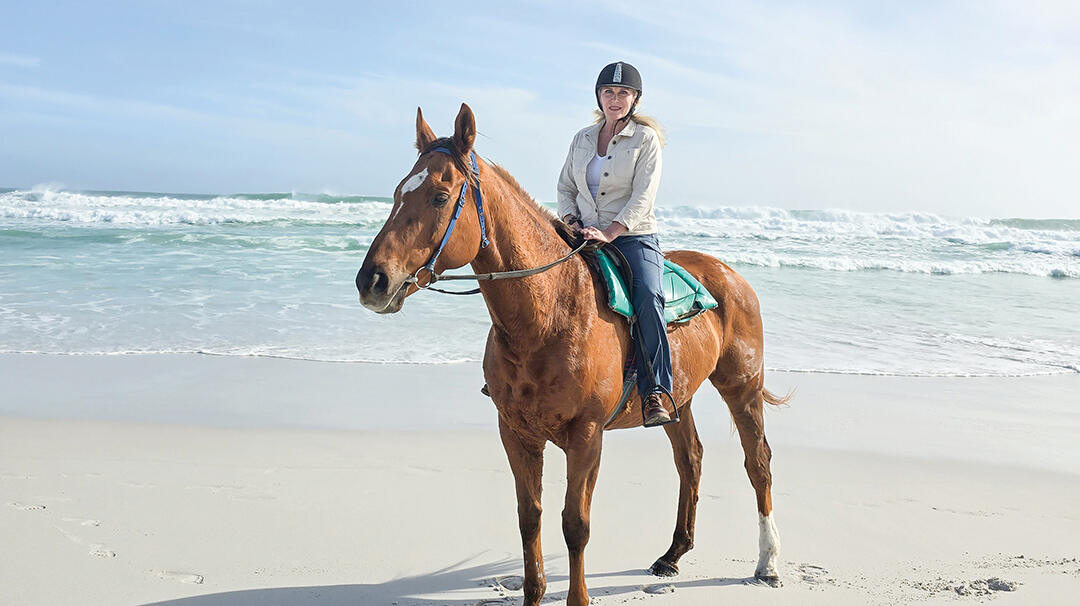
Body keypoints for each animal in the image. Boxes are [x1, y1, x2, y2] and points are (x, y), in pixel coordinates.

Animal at [355, 103, 788, 606]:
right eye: (396, 193)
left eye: (441, 197)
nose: (372, 281)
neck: (549, 312)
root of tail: (730, 275)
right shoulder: (515, 433)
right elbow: (530, 518)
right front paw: (533, 592)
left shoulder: (586, 437)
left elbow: (575, 524)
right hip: (678, 398)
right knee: (691, 460)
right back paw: (673, 554)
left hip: (742, 388)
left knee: (759, 463)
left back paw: (768, 563)